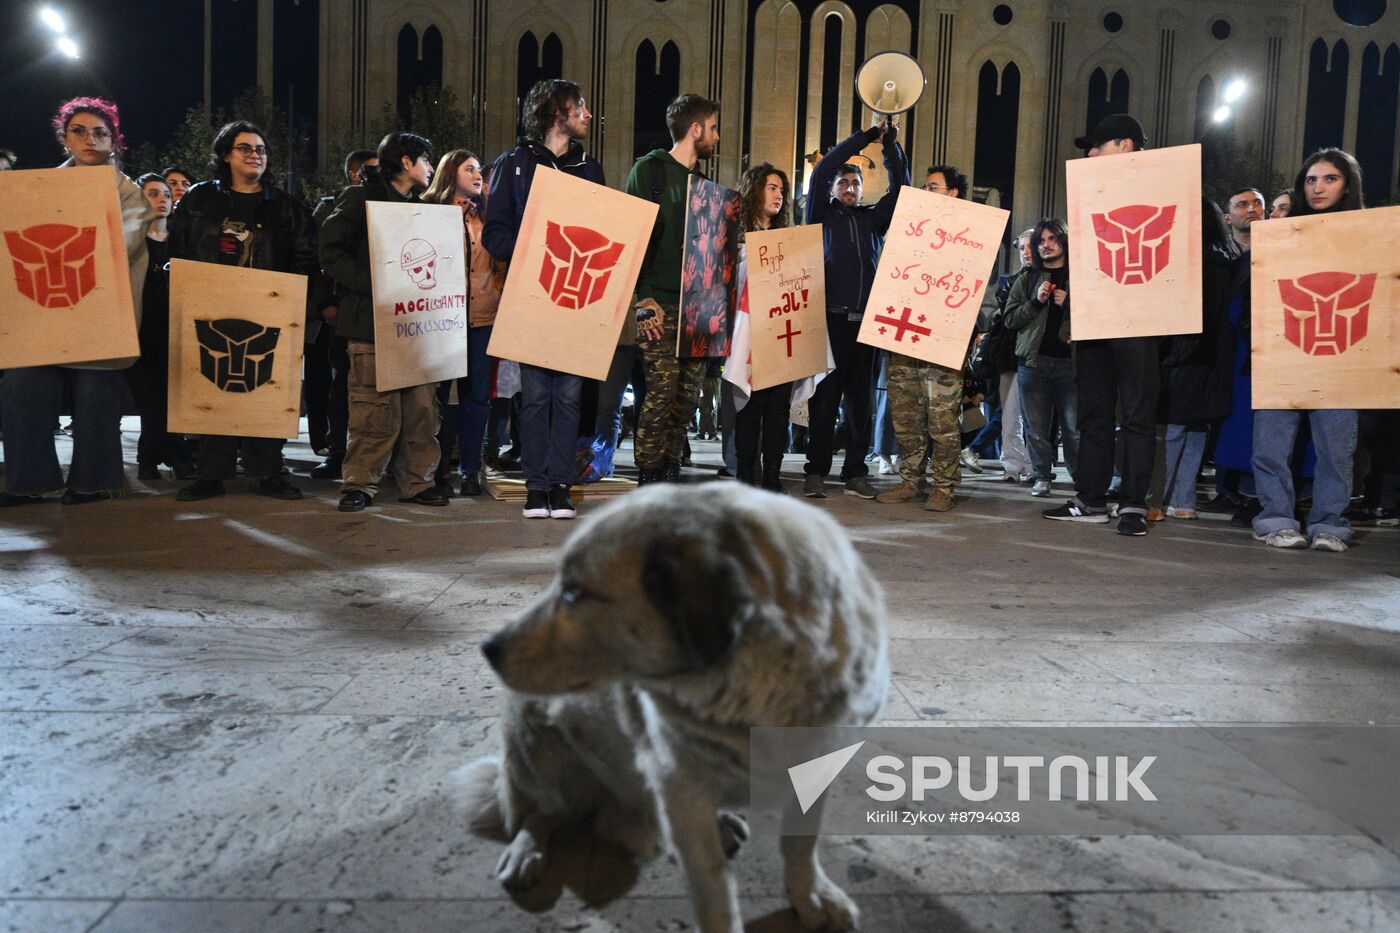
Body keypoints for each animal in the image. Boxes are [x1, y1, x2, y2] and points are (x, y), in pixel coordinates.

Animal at [464, 479, 890, 930]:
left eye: (574, 592)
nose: (488, 648)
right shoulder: (681, 785)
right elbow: (713, 885)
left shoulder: (819, 765)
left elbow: (800, 842)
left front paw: (809, 895)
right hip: (534, 745)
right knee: (538, 814)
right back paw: (525, 852)